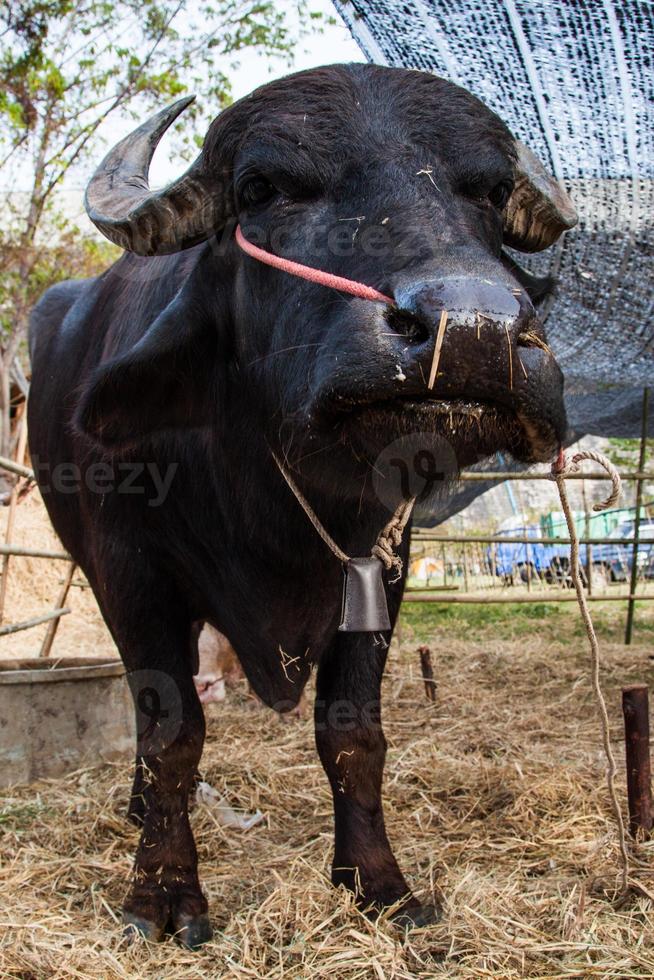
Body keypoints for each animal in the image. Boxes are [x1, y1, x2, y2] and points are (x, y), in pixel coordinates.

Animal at [28, 63, 576, 948]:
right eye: (263, 188)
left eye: (493, 192)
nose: (474, 330)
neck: (267, 493)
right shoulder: (129, 573)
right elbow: (172, 730)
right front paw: (163, 896)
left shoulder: (383, 569)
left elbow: (353, 732)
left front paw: (379, 883)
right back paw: (141, 810)